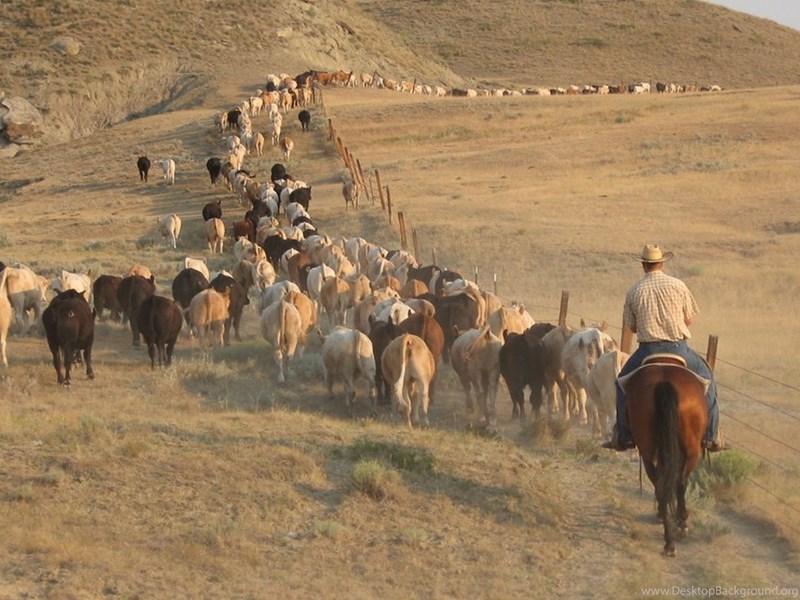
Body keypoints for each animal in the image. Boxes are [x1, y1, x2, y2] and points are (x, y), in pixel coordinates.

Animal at [619, 354, 708, 557]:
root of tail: (664, 383)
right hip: (691, 450)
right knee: (678, 483)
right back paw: (678, 529)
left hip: (649, 449)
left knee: (663, 484)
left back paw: (669, 540)